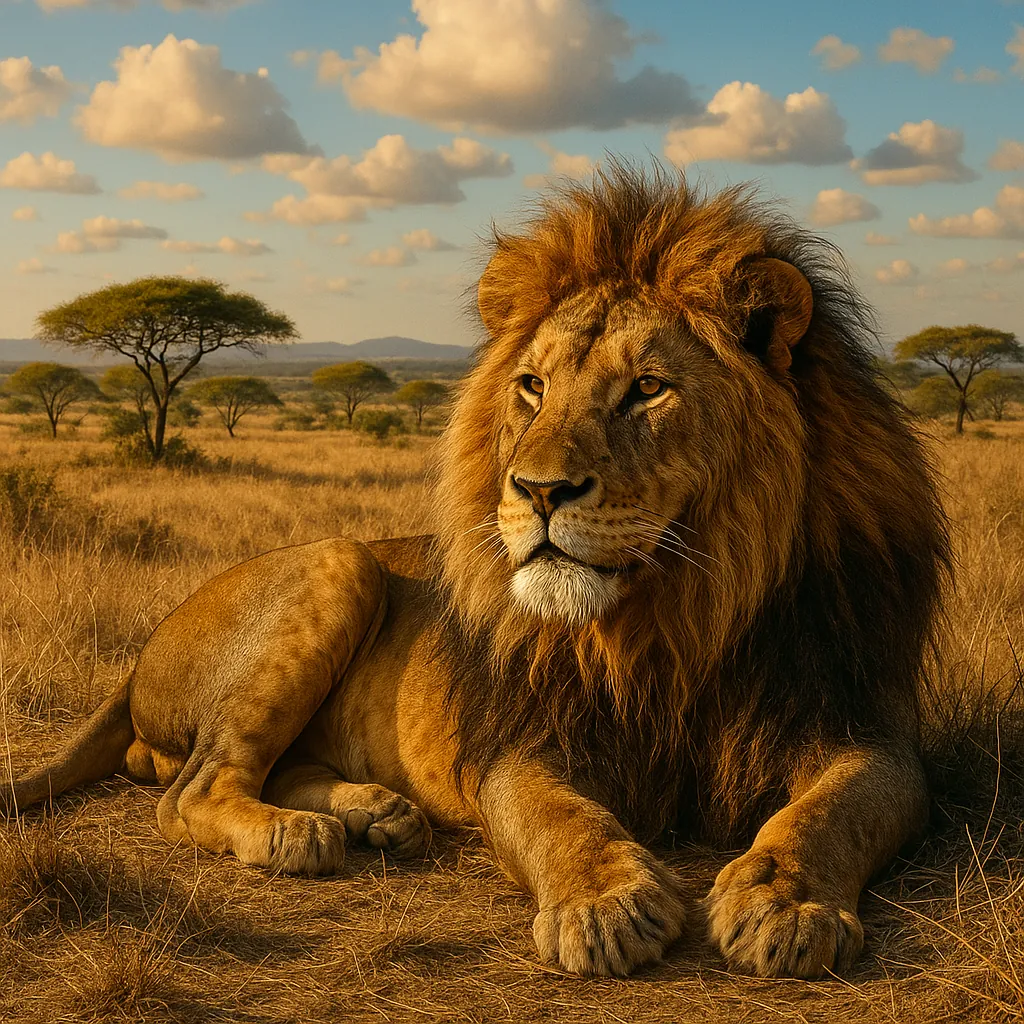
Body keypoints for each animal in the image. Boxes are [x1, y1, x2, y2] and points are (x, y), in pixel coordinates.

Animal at [3, 164, 949, 980]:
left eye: (647, 389)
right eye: (531, 386)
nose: (536, 491)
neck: (678, 616)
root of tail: (136, 662)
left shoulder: (863, 724)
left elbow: (834, 809)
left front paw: (784, 902)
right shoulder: (525, 739)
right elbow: (559, 817)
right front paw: (604, 905)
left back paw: (373, 811)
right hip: (341, 560)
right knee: (191, 790)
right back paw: (298, 835)